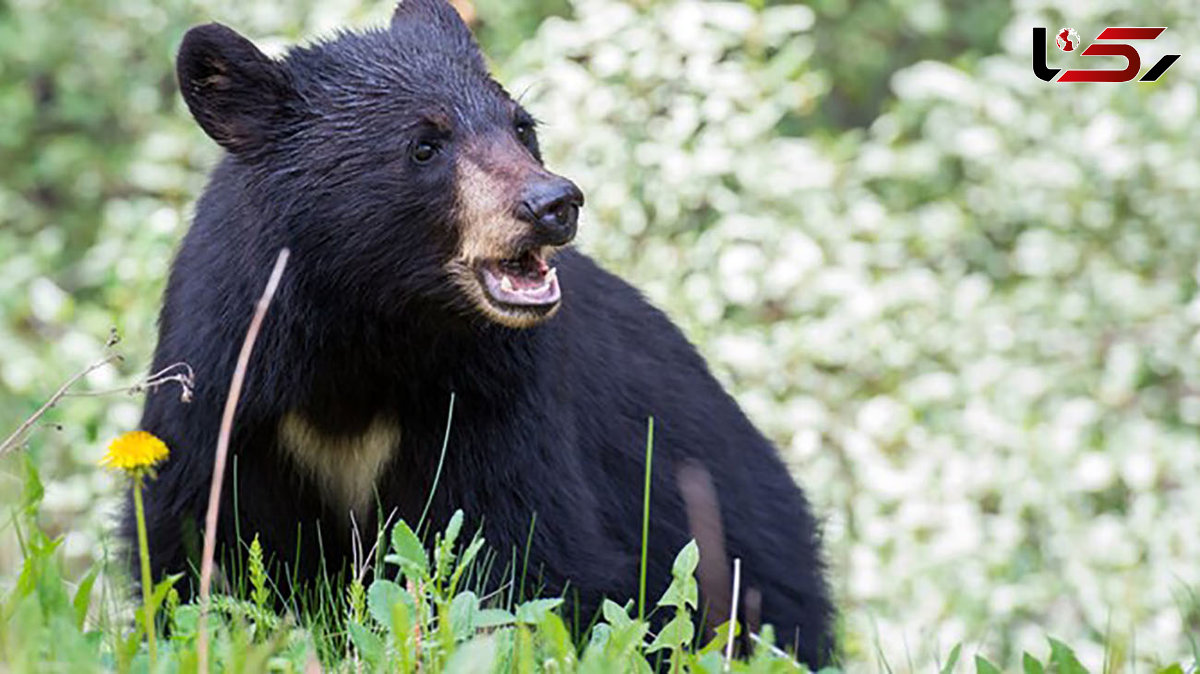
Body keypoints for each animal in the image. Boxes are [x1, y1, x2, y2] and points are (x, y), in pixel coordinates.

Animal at [126, 0, 830, 662]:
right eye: (424, 145)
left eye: (522, 127)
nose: (553, 204)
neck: (365, 330)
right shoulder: (229, 387)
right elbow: (196, 545)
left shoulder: (493, 395)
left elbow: (518, 552)